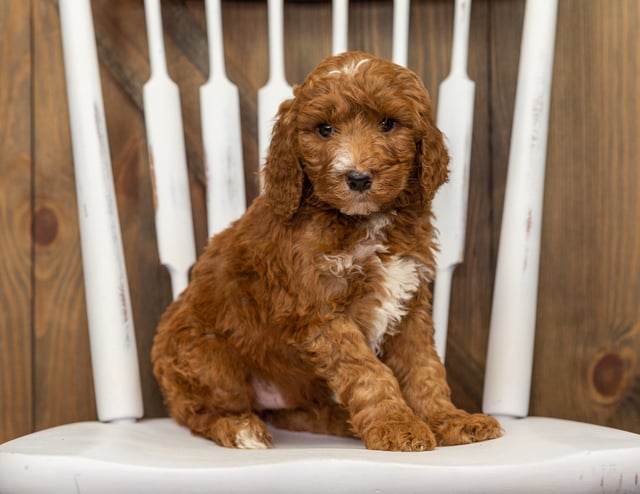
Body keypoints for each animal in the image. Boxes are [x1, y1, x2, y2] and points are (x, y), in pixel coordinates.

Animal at [152, 51, 502, 452]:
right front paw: (396, 424)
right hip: (208, 360)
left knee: (301, 412)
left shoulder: (410, 302)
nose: (358, 178)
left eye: (387, 123)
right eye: (324, 129)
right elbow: (367, 372)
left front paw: (448, 419)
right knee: (198, 412)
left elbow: (424, 369)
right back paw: (240, 428)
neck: (365, 221)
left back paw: (342, 420)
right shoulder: (319, 309)